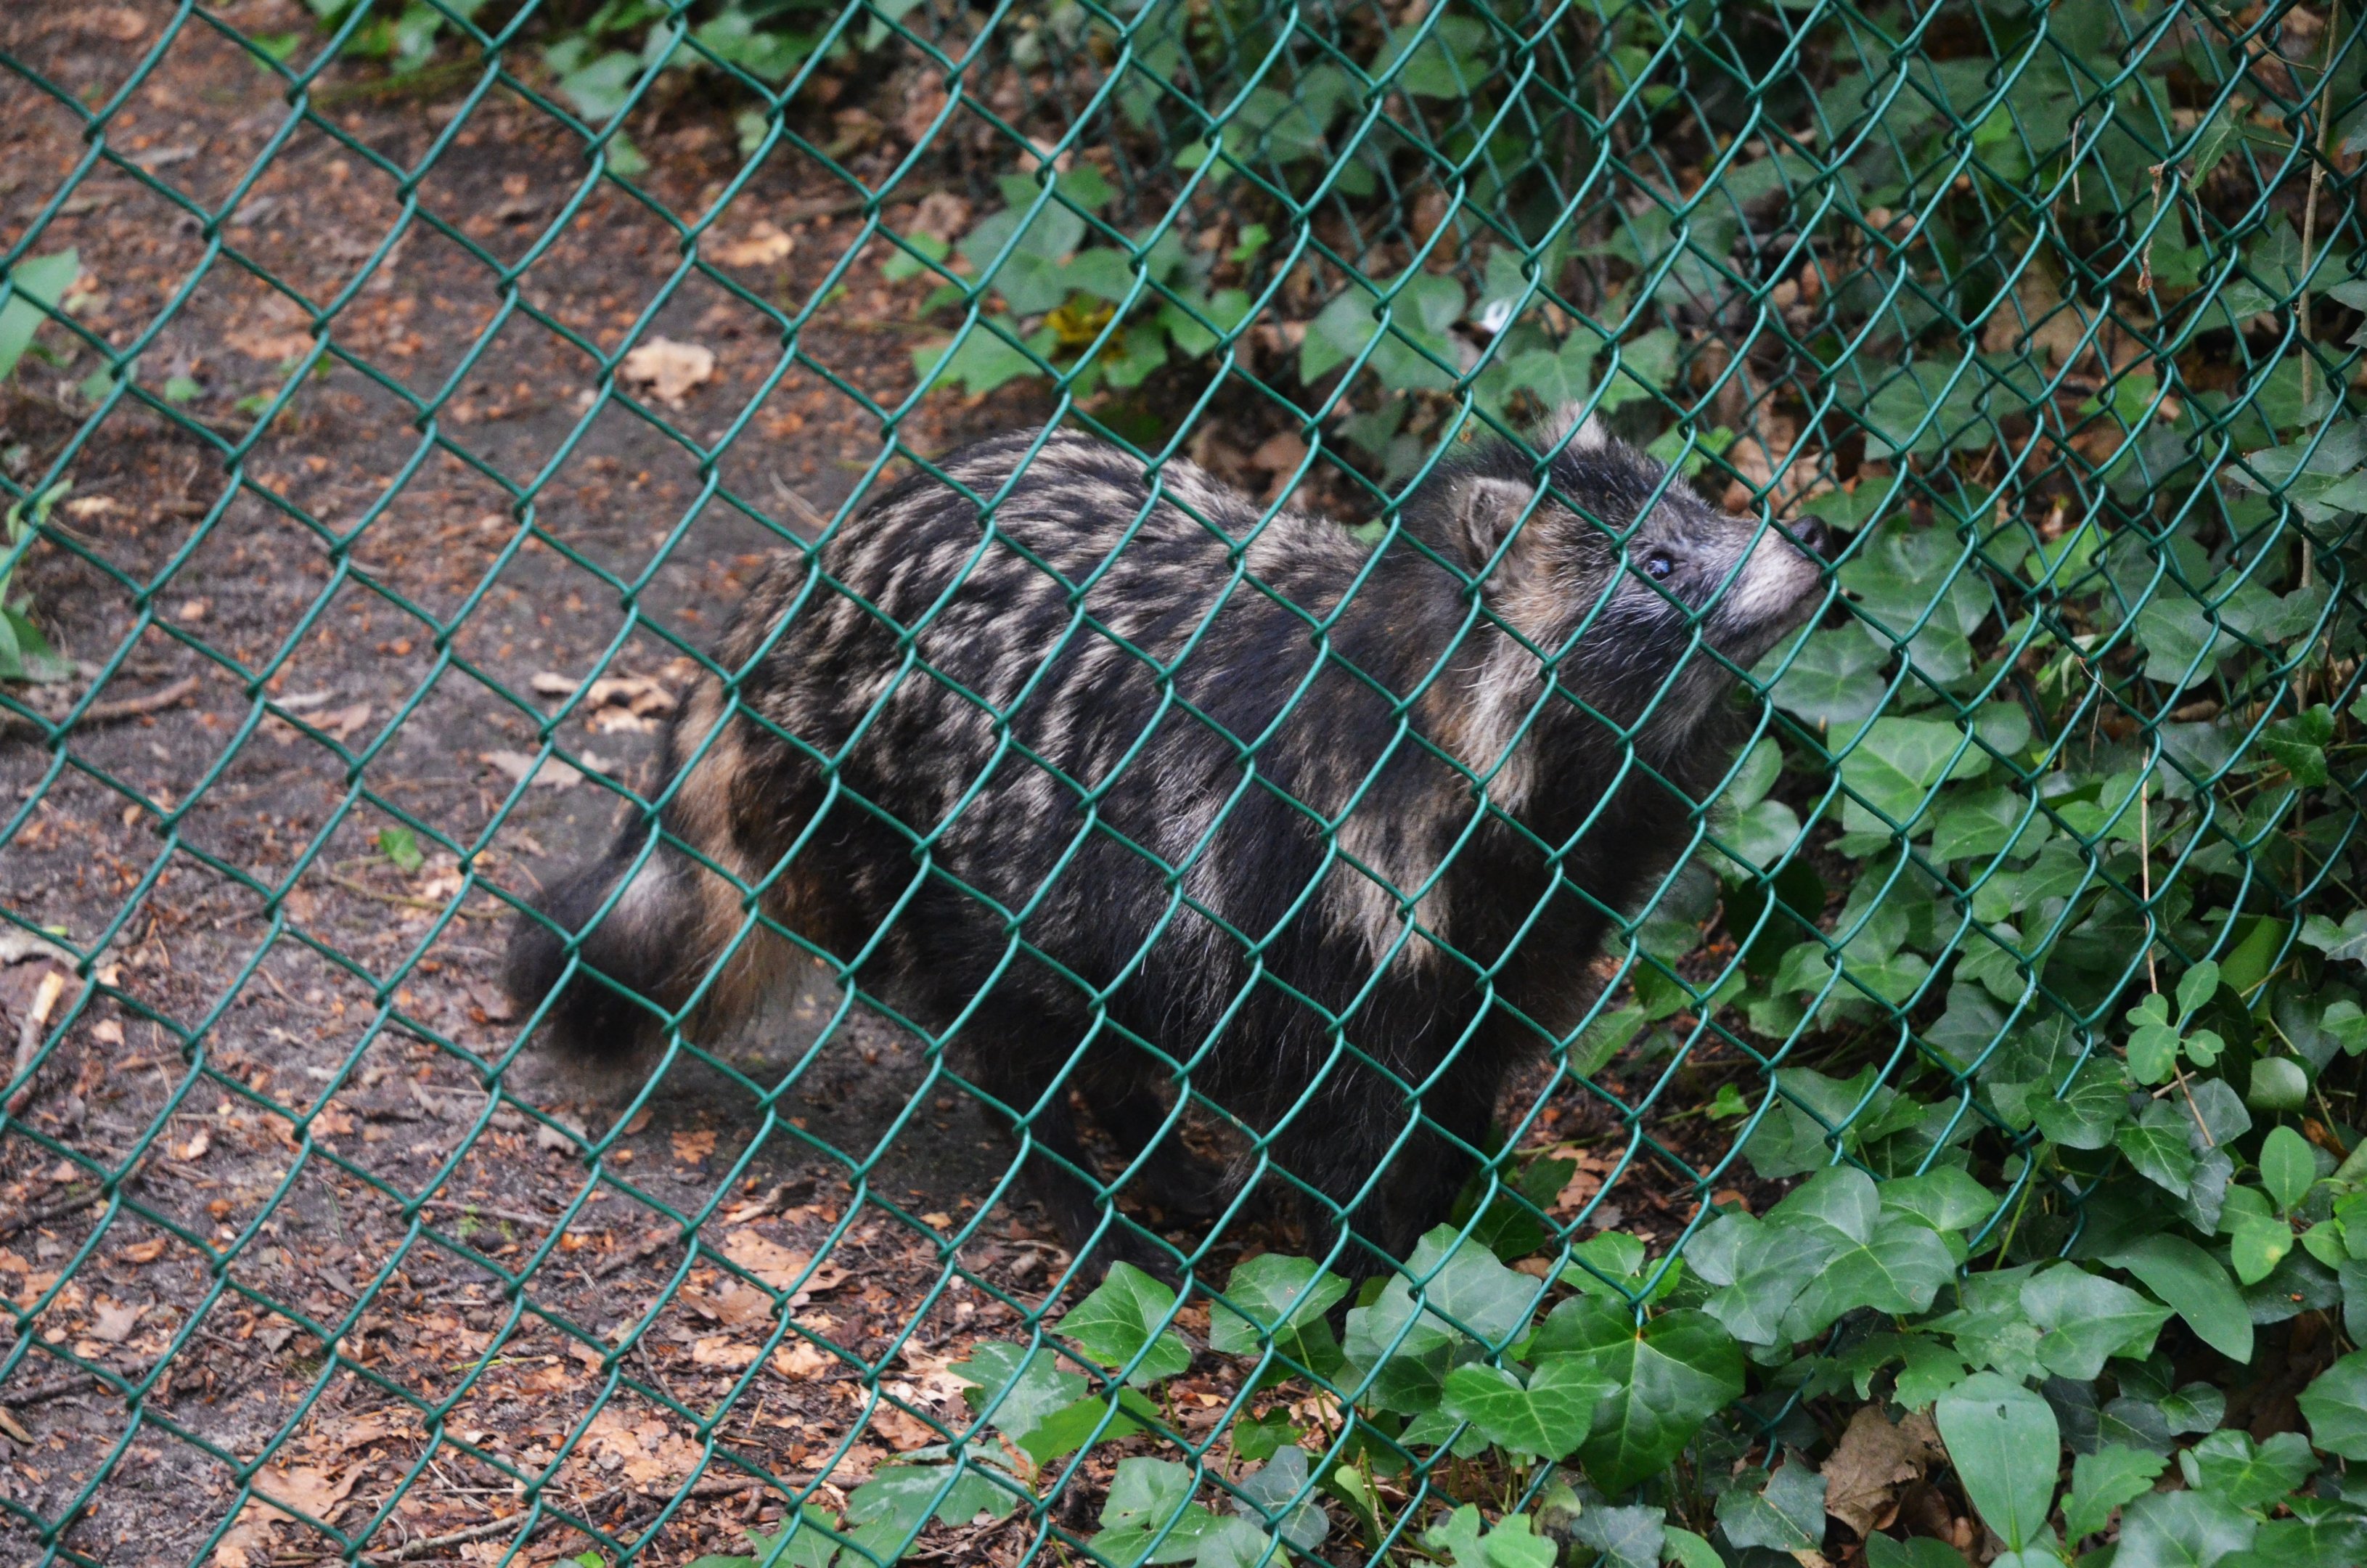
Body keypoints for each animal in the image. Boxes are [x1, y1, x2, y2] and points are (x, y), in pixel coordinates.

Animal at [504, 410, 1827, 1277]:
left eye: (1699, 503)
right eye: (1657, 564)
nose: (1813, 551)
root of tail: (796, 600)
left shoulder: (1525, 918)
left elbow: (1465, 1067)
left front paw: (1462, 1213)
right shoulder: (1318, 896)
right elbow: (1340, 1112)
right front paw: (1376, 1275)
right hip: (920, 834)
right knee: (1015, 1031)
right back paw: (1075, 1183)